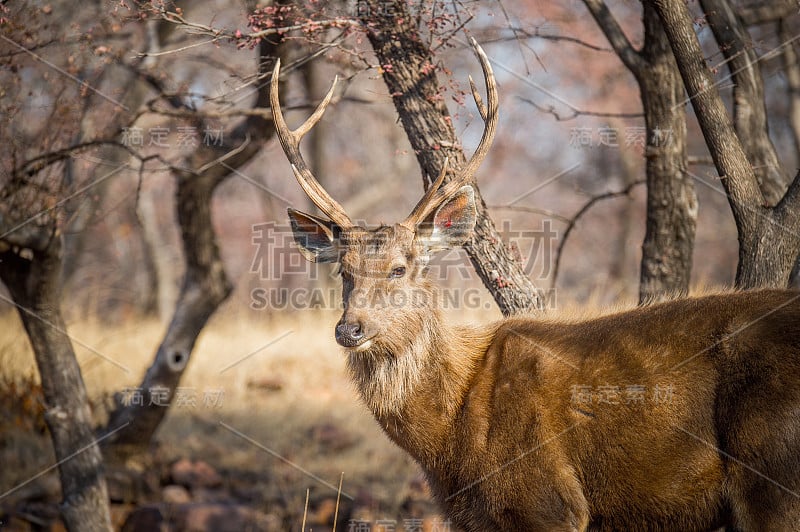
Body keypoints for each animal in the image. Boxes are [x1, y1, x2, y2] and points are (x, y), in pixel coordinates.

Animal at [268, 39, 800, 528]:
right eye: (343, 270)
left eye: (401, 267)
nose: (350, 329)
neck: (451, 442)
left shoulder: (547, 499)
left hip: (773, 470)